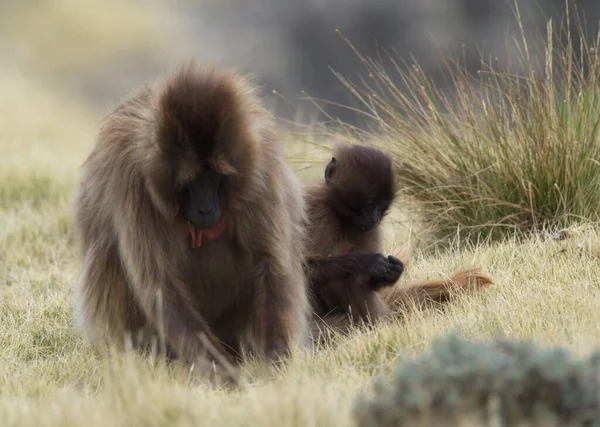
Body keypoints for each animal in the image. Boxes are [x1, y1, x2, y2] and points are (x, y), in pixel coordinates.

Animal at [71, 61, 310, 384]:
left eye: (217, 177)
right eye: (192, 181)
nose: (205, 208)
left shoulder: (262, 168)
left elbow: (270, 263)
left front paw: (276, 360)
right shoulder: (132, 182)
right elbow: (160, 284)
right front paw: (223, 373)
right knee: (108, 252)